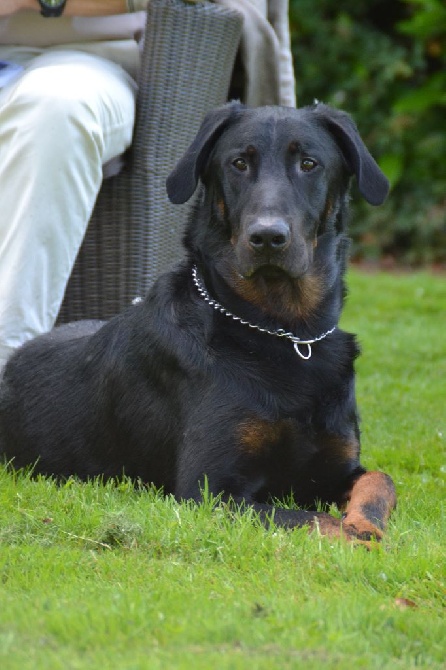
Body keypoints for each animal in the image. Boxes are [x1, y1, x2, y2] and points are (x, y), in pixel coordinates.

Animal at [0, 103, 398, 544]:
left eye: (309, 163)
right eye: (239, 163)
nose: (267, 237)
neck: (284, 332)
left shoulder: (336, 468)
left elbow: (381, 480)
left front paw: (365, 524)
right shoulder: (211, 489)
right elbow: (312, 518)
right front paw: (355, 535)